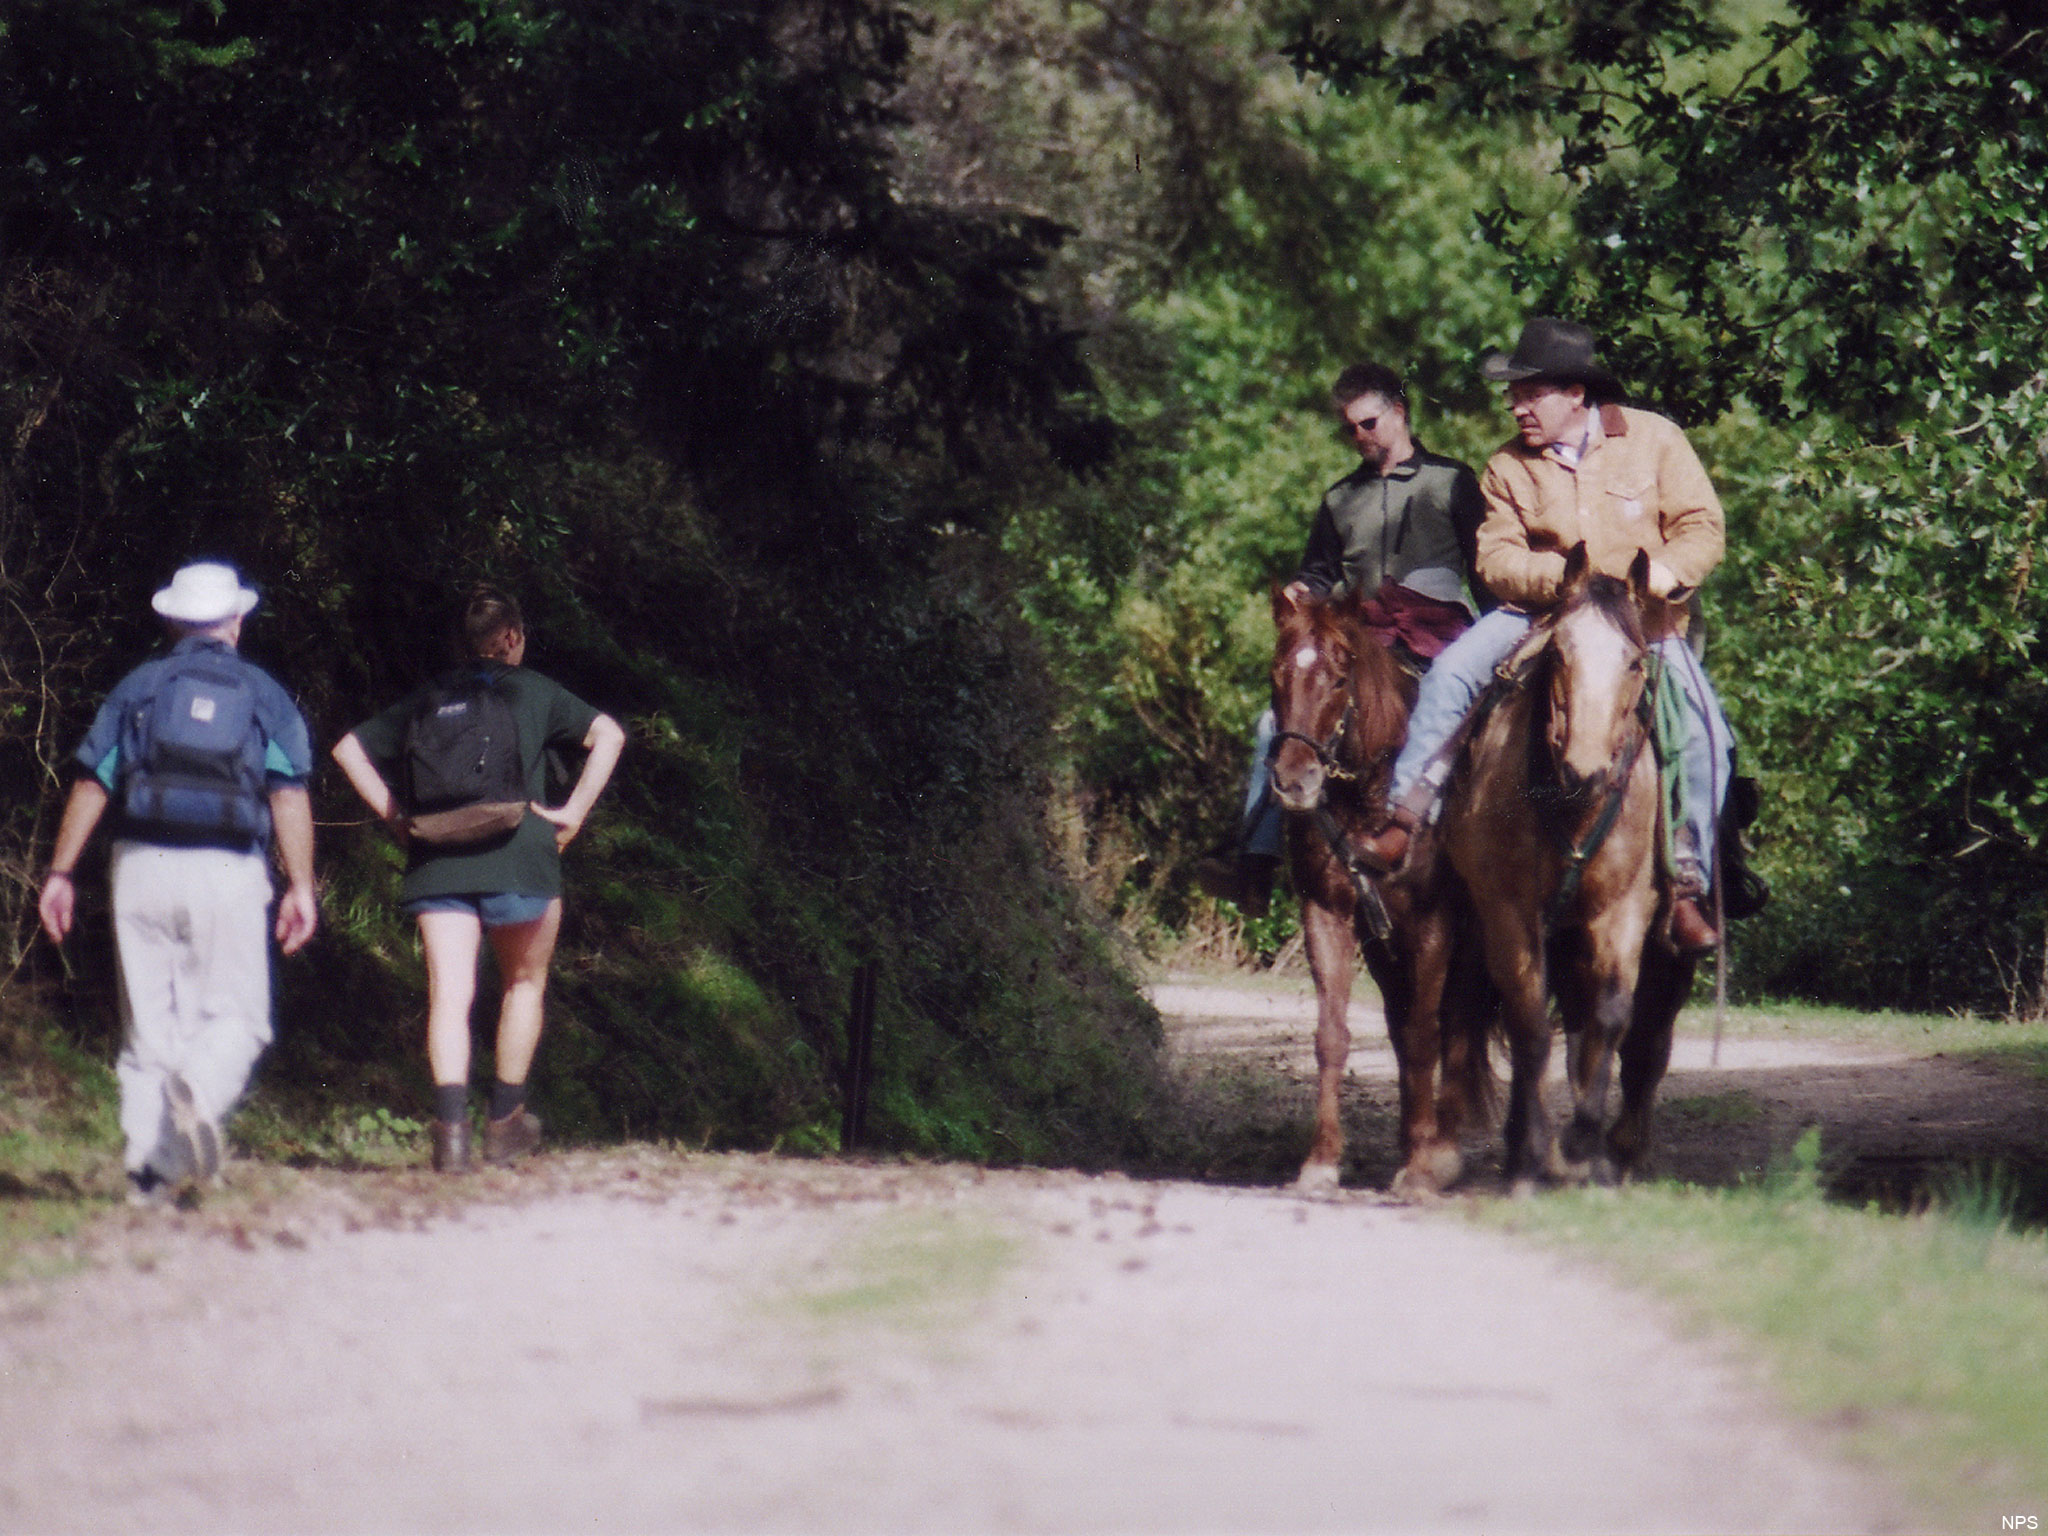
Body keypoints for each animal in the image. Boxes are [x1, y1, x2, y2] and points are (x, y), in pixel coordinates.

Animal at [1261, 581, 1490, 1196]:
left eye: (1340, 678)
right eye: (1276, 673)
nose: (1294, 781)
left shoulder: (1434, 925)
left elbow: (1426, 1035)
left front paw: (1422, 1164)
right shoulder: (1328, 915)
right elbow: (1333, 1035)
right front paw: (1321, 1160)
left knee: (1455, 1029)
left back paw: (1442, 1148)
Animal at [1425, 548, 1695, 1196]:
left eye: (1633, 661)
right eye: (1559, 654)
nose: (1587, 770)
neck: (1572, 809)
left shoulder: (1623, 912)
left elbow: (1610, 1017)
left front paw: (1586, 1147)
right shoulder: (1509, 915)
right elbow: (1529, 1028)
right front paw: (1533, 1156)